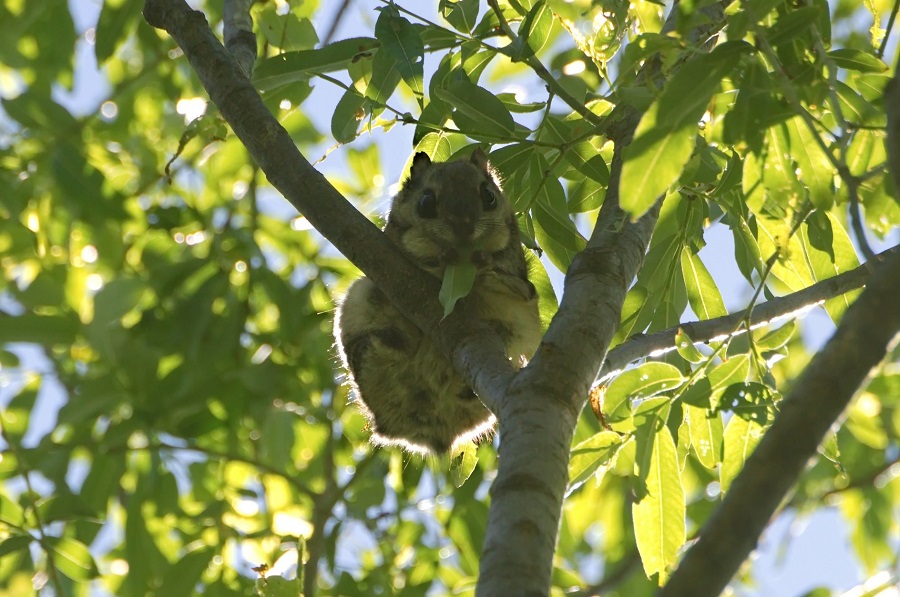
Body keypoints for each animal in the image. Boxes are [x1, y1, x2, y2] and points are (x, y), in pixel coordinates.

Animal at [332, 148, 536, 452]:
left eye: (489, 196)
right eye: (426, 202)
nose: (463, 226)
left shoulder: (518, 275)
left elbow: (513, 281)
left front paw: (484, 265)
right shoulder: (394, 242)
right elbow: (412, 247)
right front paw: (440, 258)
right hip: (359, 302)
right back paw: (386, 341)